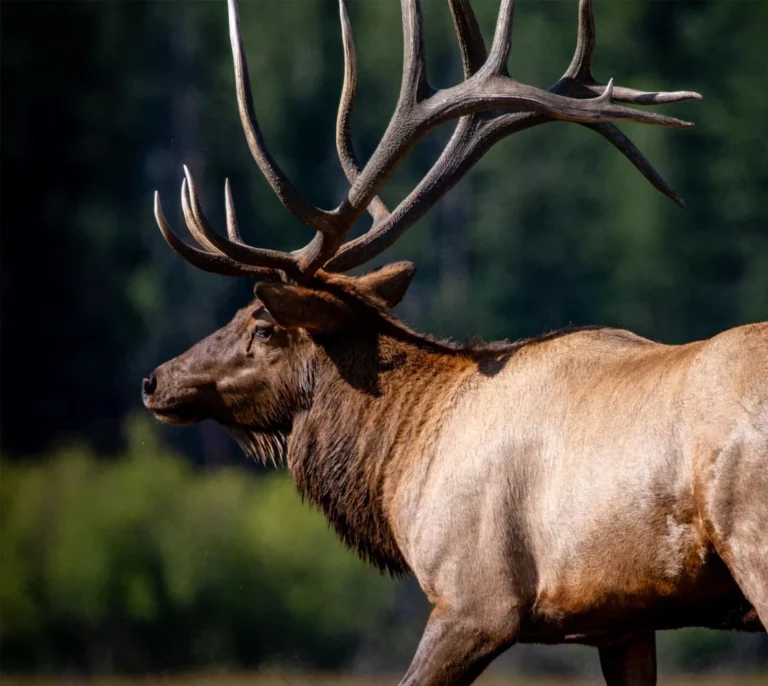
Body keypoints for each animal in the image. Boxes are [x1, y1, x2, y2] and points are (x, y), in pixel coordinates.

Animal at [144, 0, 768, 684]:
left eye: (262, 323)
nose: (155, 379)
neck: (402, 462)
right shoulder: (622, 621)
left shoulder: (476, 601)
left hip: (754, 543)